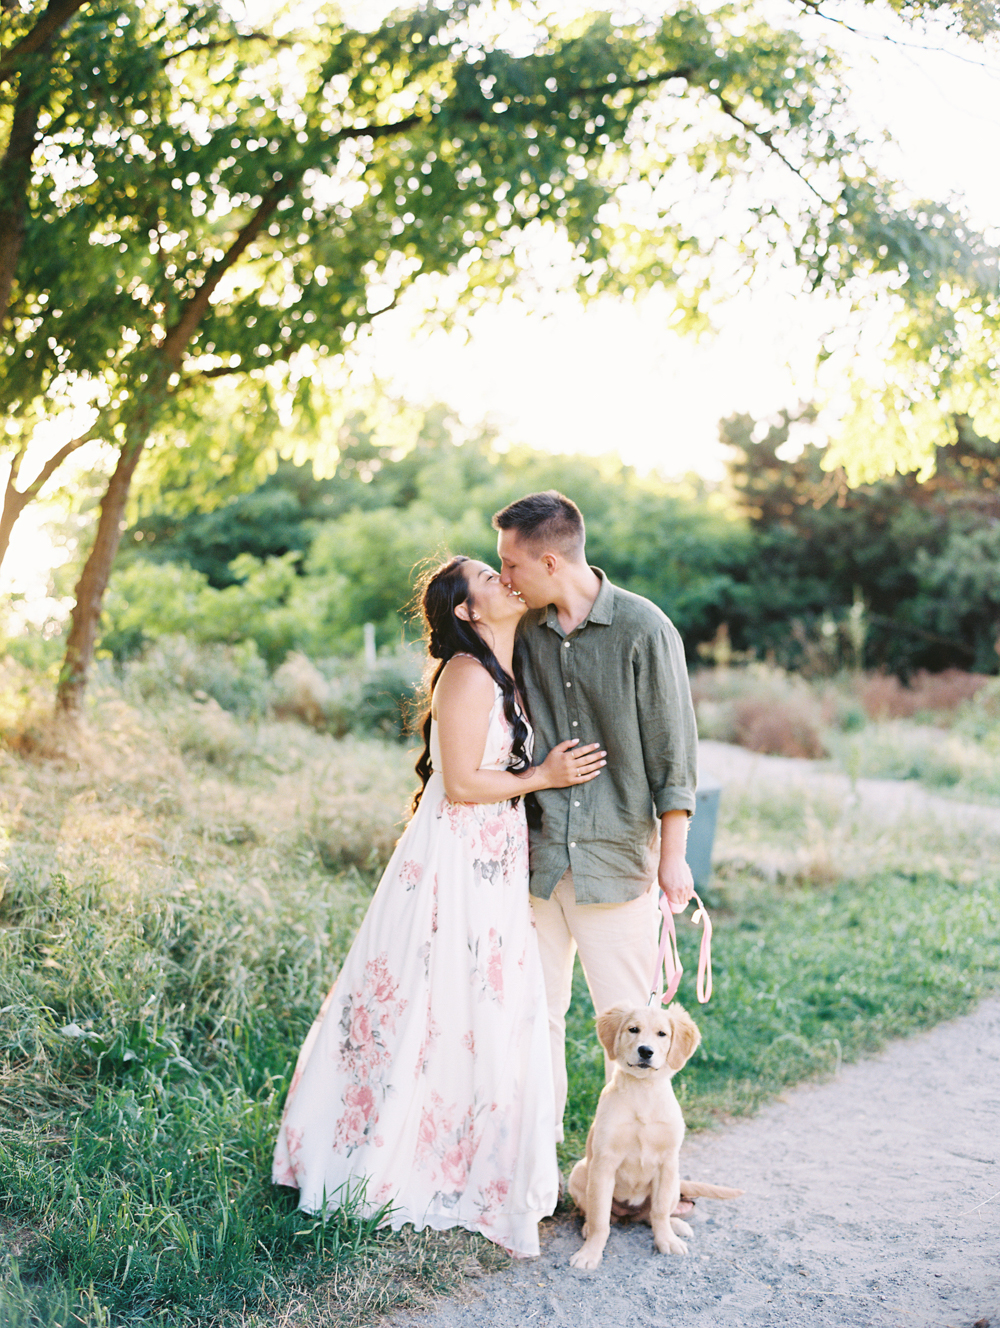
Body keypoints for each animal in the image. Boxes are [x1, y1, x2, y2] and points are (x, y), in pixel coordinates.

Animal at [565, 998, 738, 1269]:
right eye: (633, 1030)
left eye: (662, 1034)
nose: (646, 1051)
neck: (643, 1091)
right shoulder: (604, 1163)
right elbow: (600, 1218)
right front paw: (590, 1253)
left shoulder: (667, 1163)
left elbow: (659, 1211)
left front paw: (666, 1240)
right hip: (580, 1172)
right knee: (596, 1214)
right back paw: (586, 1228)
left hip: (675, 1180)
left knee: (653, 1215)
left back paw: (676, 1226)